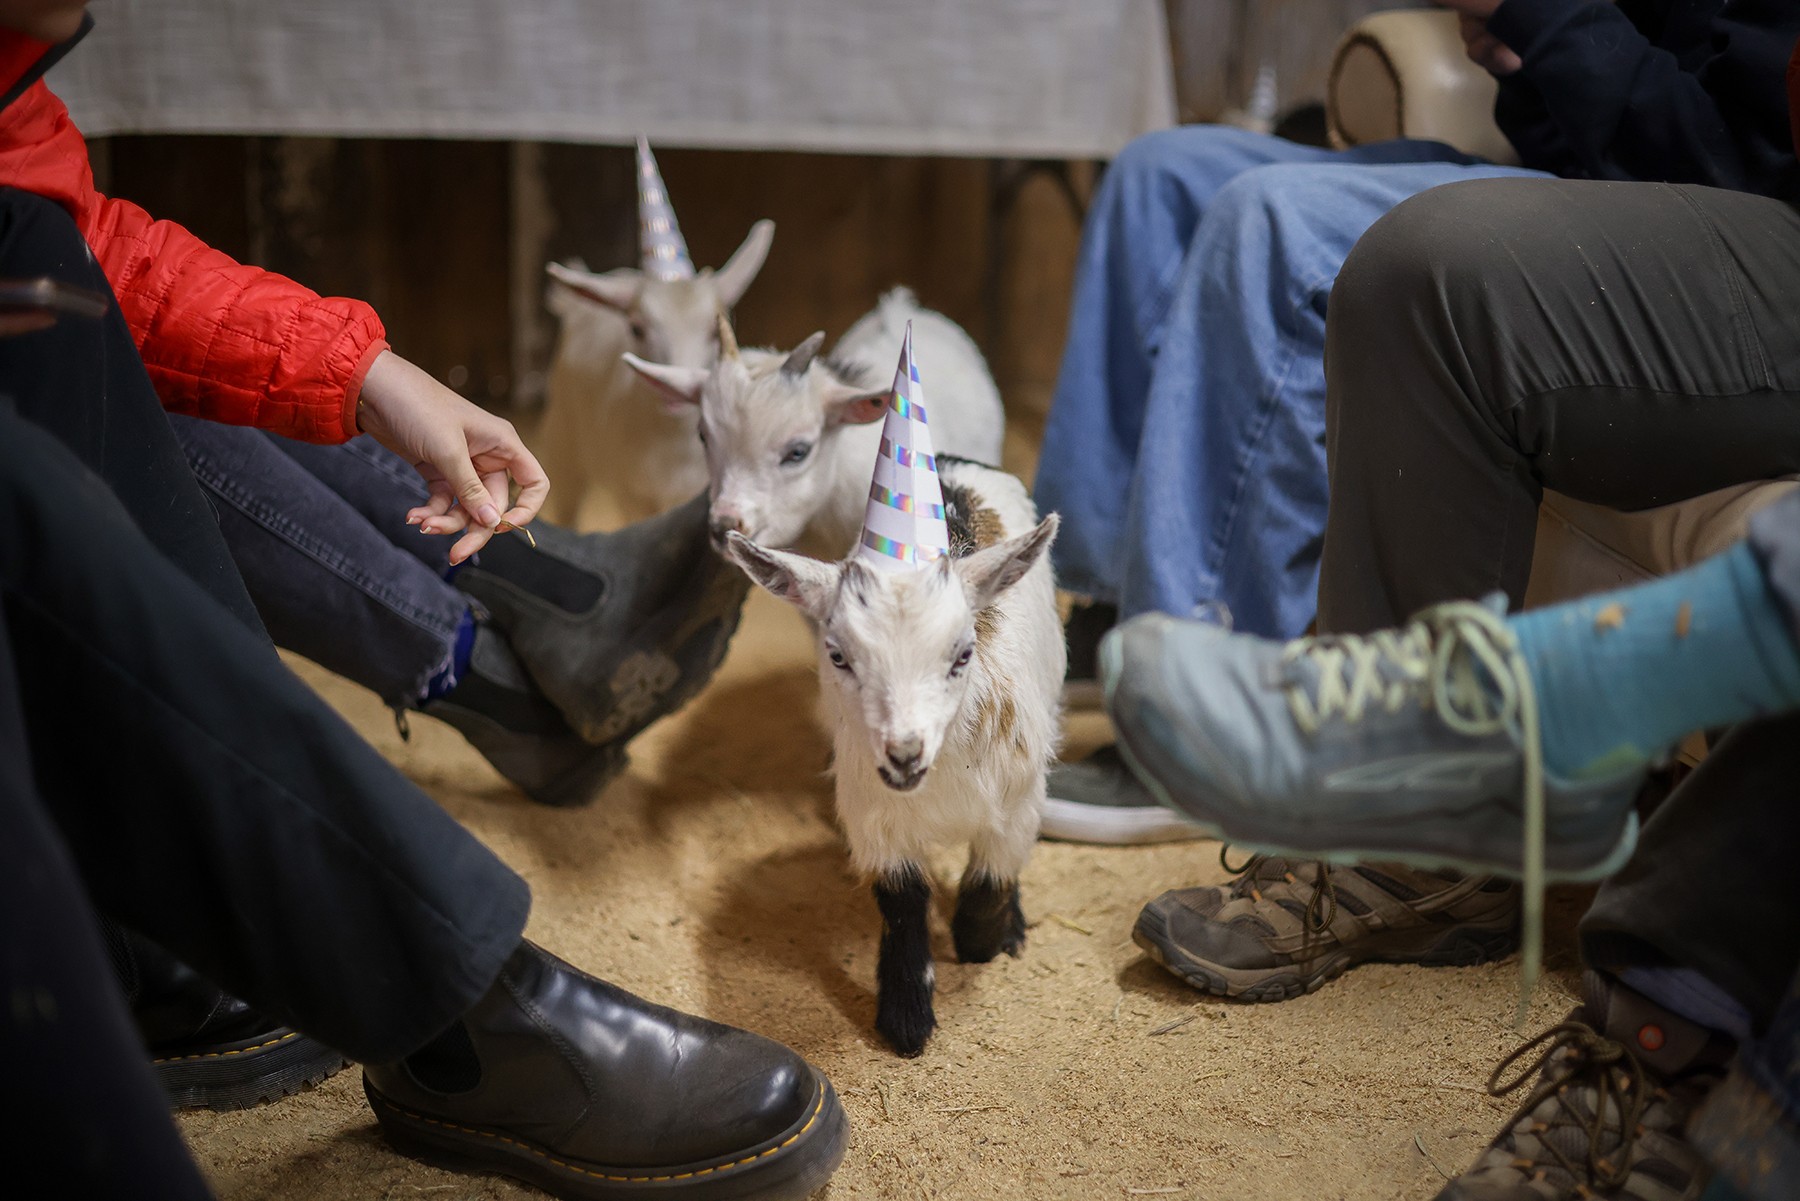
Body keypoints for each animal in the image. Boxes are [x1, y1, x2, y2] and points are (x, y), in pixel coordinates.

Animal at [725, 459, 1063, 1057]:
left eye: (963, 653)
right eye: (838, 655)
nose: (904, 753)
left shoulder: (1018, 802)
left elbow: (987, 895)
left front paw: (991, 938)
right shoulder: (876, 822)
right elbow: (903, 905)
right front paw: (905, 1020)